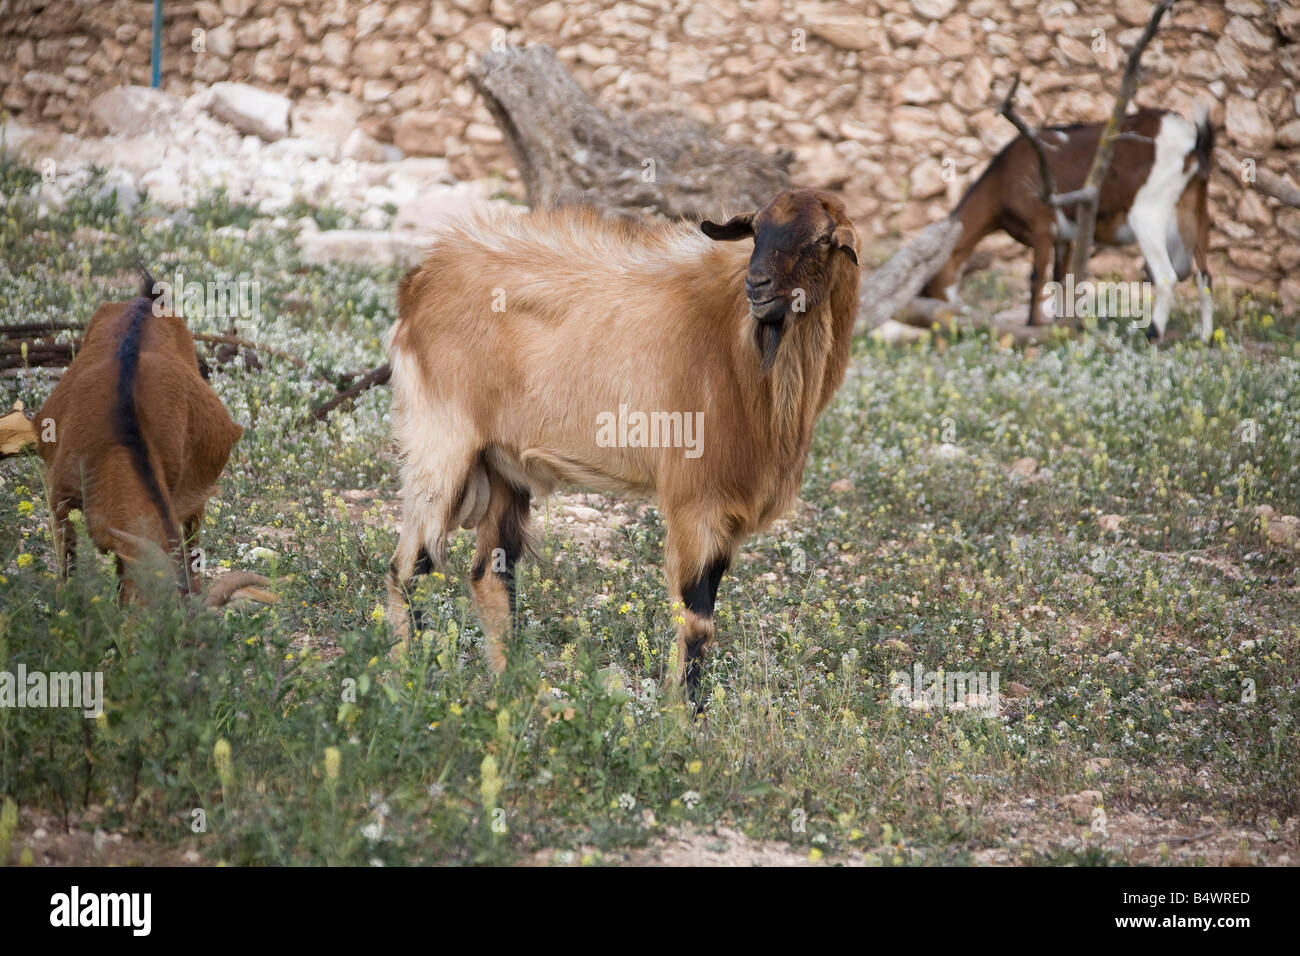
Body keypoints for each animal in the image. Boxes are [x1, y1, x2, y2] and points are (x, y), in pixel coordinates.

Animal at [384, 187, 863, 702]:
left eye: (821, 239)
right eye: (756, 230)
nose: (757, 285)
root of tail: (420, 283)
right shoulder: (696, 499)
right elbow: (696, 620)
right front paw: (681, 714)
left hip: (501, 465)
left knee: (491, 575)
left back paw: (515, 692)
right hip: (442, 444)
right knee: (409, 566)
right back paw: (405, 683)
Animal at [920, 107, 1211, 340]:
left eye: (928, 282)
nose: (934, 327)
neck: (1003, 178)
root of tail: (1192, 139)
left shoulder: (1042, 226)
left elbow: (1036, 277)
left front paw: (1032, 325)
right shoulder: (1065, 236)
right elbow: (1061, 278)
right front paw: (1061, 325)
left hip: (1148, 211)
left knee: (1165, 276)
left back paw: (1152, 334)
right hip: (1197, 206)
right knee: (1204, 274)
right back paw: (1205, 338)